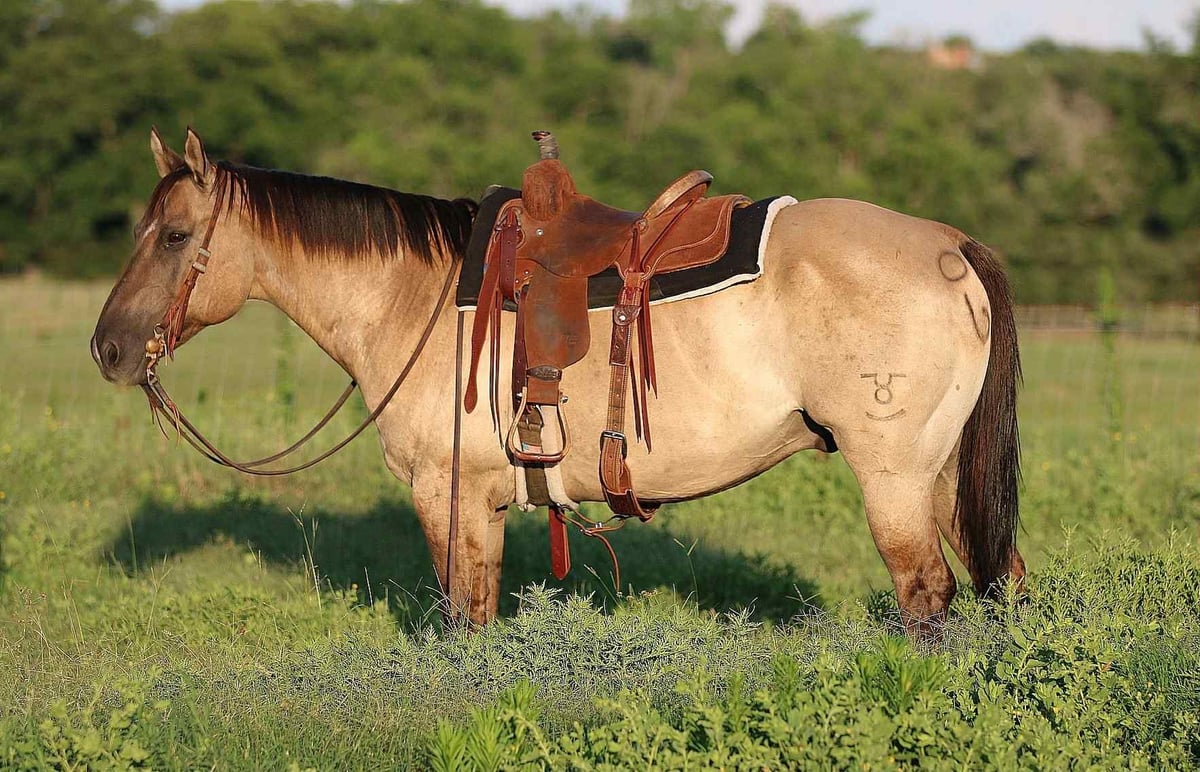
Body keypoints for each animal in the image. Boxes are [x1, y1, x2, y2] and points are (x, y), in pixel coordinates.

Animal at [92, 127, 1024, 640]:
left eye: (174, 236)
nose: (108, 348)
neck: (416, 296)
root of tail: (948, 244)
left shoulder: (449, 493)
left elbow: (462, 618)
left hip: (894, 476)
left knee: (926, 593)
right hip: (945, 475)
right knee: (1000, 580)